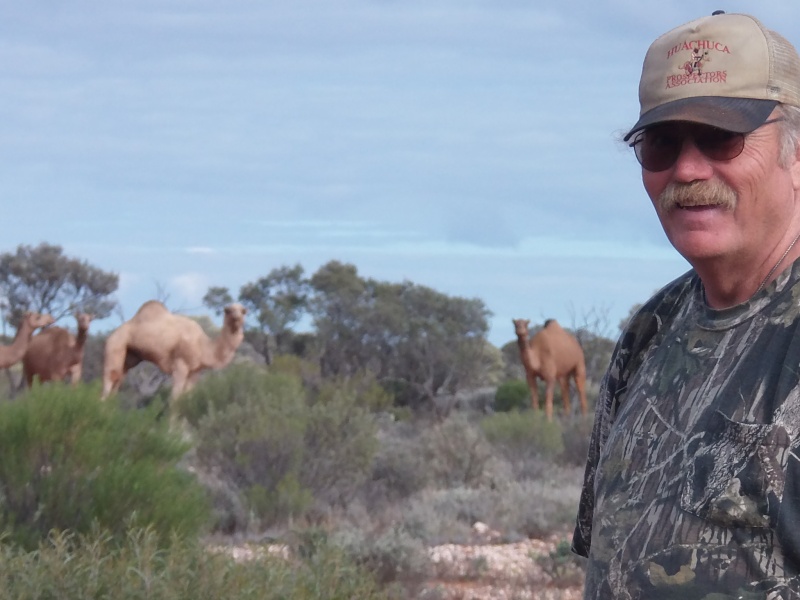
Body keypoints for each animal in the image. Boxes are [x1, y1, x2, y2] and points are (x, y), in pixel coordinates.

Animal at [101, 300, 248, 404]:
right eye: (228, 310)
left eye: (243, 311)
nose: (236, 318)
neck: (203, 346)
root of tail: (113, 333)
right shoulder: (180, 366)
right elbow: (175, 400)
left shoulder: (194, 372)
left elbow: (187, 400)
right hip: (116, 344)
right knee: (110, 378)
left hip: (130, 357)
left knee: (118, 380)